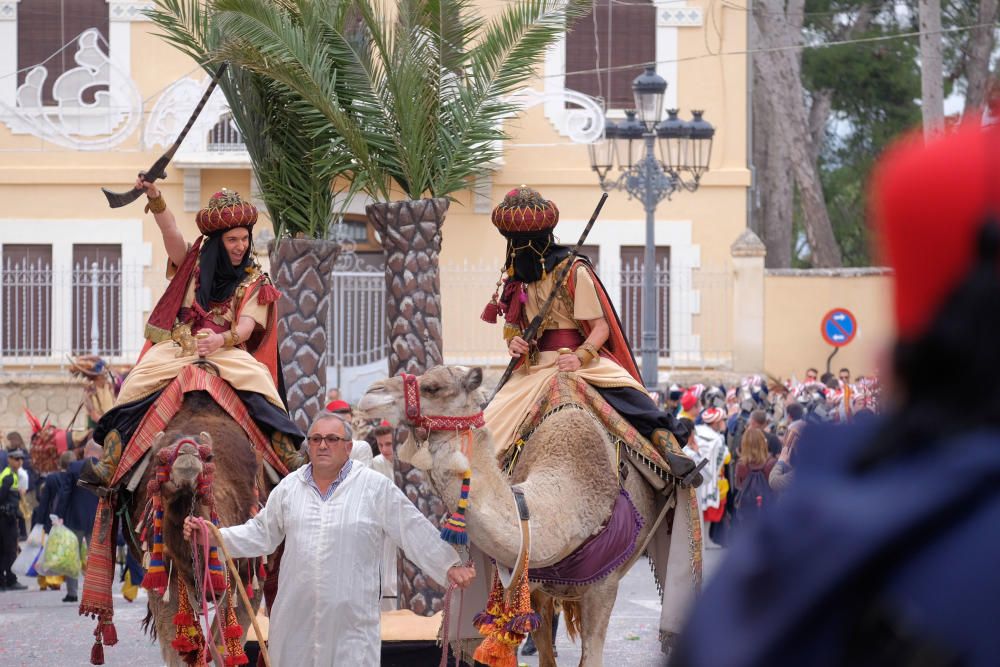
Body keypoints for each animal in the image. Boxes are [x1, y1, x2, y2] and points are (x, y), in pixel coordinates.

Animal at [129, 394, 270, 664]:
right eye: (161, 458)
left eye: (209, 457)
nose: (188, 452)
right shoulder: (161, 577)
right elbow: (177, 648)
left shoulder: (247, 574)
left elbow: (224, 645)